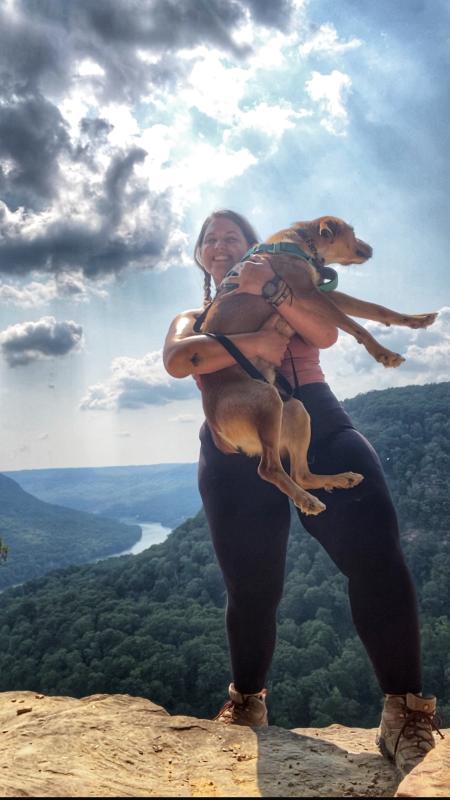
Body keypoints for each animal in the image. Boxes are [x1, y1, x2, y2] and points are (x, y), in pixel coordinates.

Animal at [196, 216, 436, 516]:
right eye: (352, 231)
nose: (371, 248)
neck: (299, 242)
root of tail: (216, 426)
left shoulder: (324, 294)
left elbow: (375, 308)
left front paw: (417, 319)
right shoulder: (308, 294)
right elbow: (354, 324)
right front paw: (383, 352)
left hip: (294, 410)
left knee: (300, 474)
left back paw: (339, 479)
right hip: (266, 400)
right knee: (268, 469)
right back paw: (306, 500)